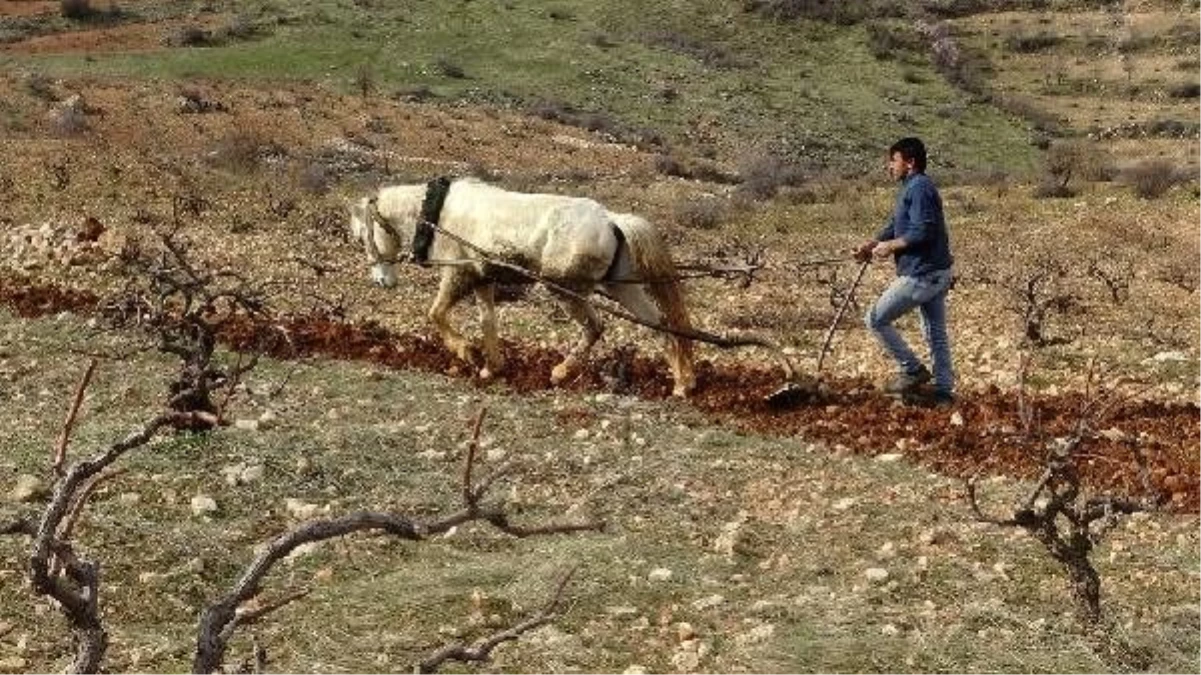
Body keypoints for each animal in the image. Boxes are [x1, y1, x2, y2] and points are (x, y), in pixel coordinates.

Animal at [348, 177, 696, 393]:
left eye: (364, 235)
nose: (381, 280)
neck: (437, 215)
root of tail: (611, 219)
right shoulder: (482, 279)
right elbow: (488, 322)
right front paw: (492, 367)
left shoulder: (458, 274)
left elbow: (435, 314)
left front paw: (467, 352)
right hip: (621, 286)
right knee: (659, 324)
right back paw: (683, 383)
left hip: (566, 290)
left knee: (594, 327)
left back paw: (560, 372)